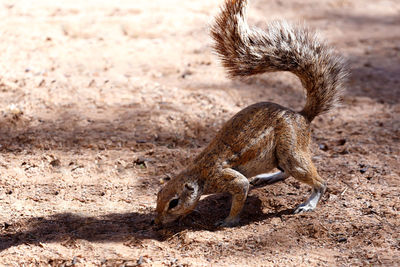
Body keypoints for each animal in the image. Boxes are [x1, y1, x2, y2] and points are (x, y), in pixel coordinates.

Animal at [153, 0, 346, 228]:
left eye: (173, 202)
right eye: (158, 194)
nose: (156, 223)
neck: (198, 172)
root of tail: (302, 115)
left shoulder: (227, 178)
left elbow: (241, 192)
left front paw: (228, 220)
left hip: (291, 153)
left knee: (318, 182)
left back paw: (308, 204)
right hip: (281, 156)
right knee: (285, 172)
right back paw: (267, 177)